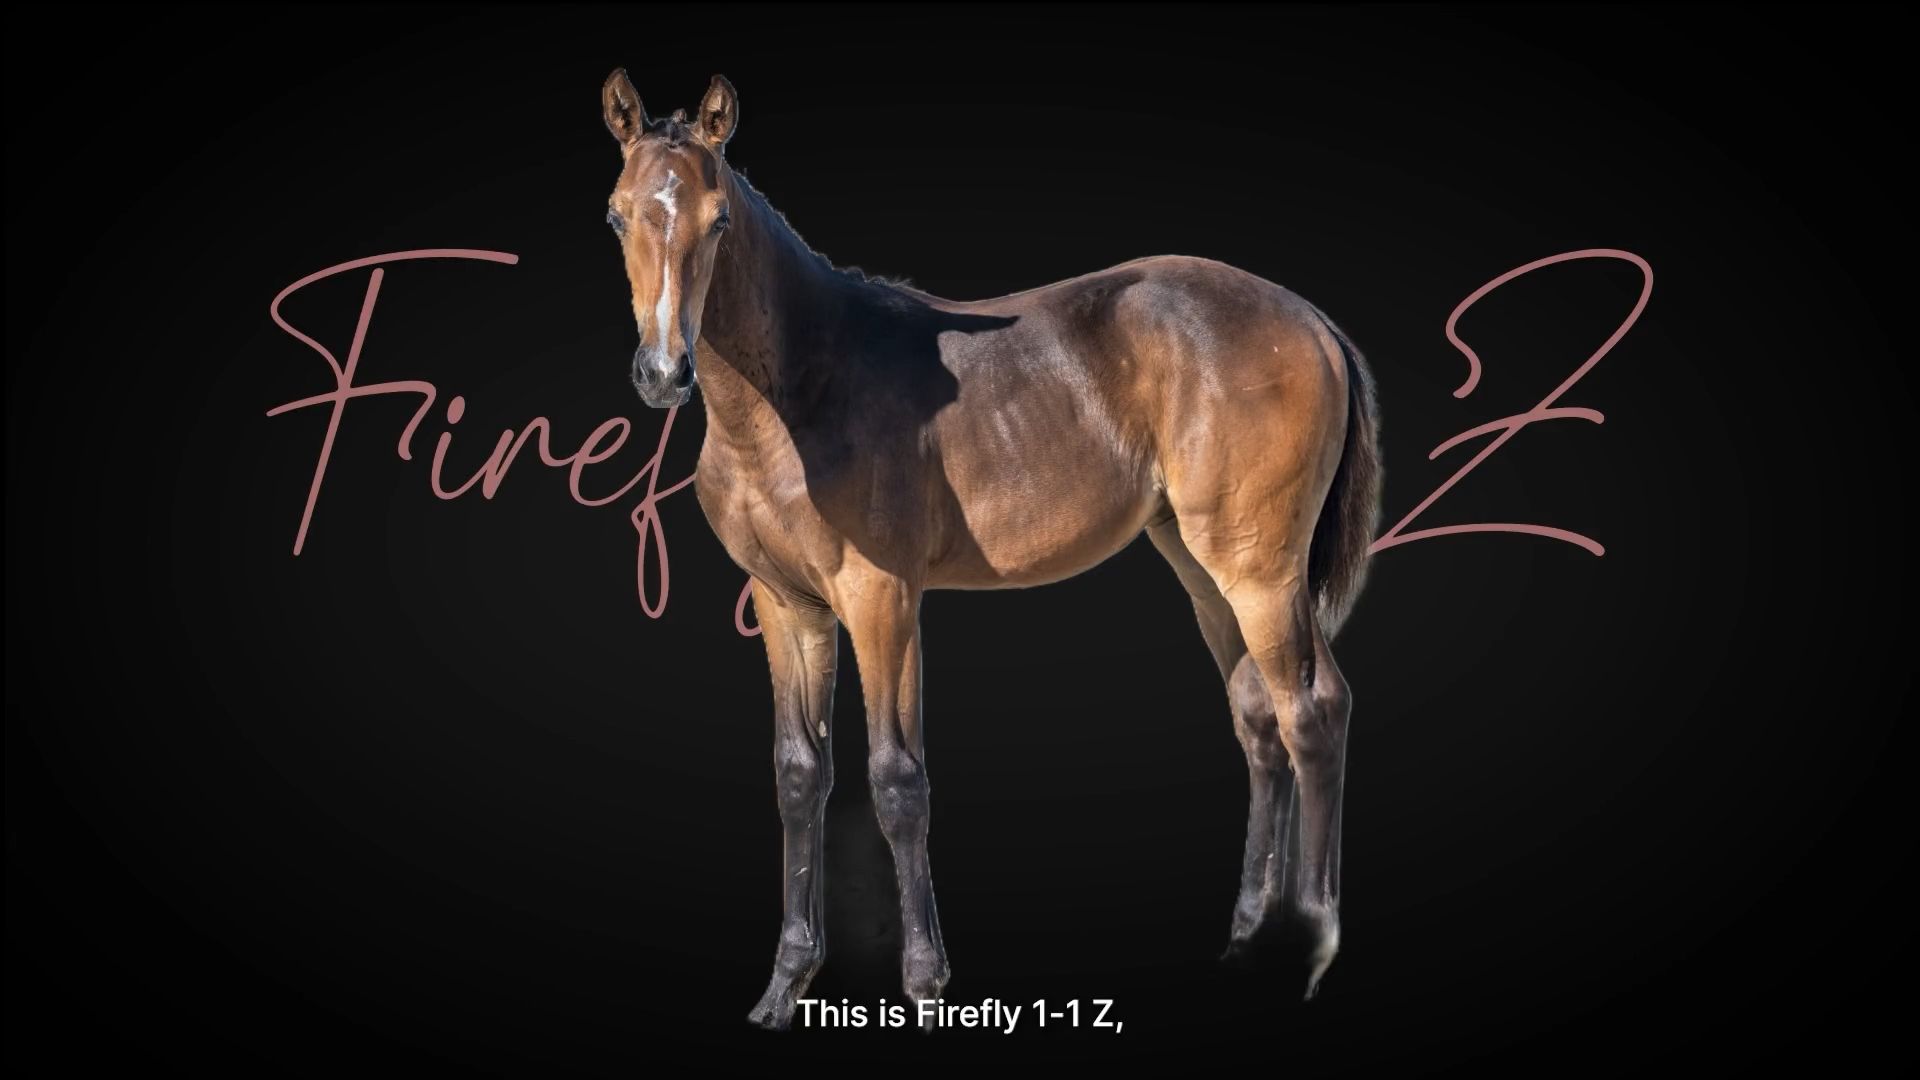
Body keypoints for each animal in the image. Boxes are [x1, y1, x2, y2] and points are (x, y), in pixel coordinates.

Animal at [598, 70, 1383, 1030]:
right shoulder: (787, 607)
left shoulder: (882, 599)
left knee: (1313, 711)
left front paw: (925, 980)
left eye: (717, 221)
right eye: (617, 215)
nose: (663, 374)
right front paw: (785, 985)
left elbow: (897, 779)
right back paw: (1245, 934)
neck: (803, 394)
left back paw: (1313, 939)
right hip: (1205, 572)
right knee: (1258, 717)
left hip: (1262, 572)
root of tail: (1310, 319)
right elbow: (799, 775)